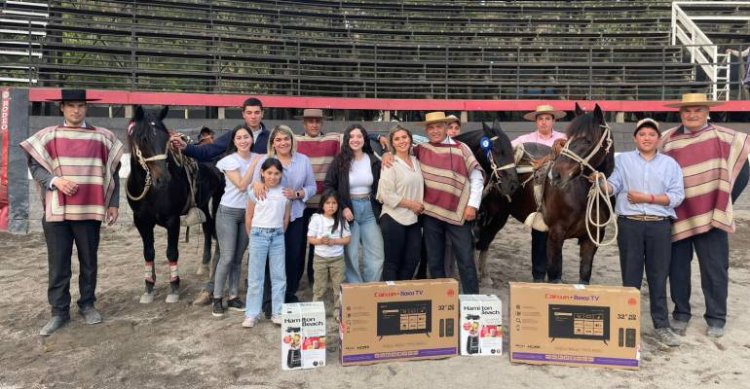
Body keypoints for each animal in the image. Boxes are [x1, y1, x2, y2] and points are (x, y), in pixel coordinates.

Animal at [127, 106, 223, 304]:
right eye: (144, 138)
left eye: (166, 139)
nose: (163, 179)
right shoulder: (141, 221)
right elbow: (148, 252)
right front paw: (148, 287)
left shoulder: (172, 220)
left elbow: (171, 252)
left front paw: (174, 287)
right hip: (203, 203)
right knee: (208, 226)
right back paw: (204, 264)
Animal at [540, 103, 616, 284]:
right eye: (568, 137)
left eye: (587, 140)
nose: (556, 175)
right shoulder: (555, 234)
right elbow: (554, 274)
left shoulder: (592, 238)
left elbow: (585, 273)